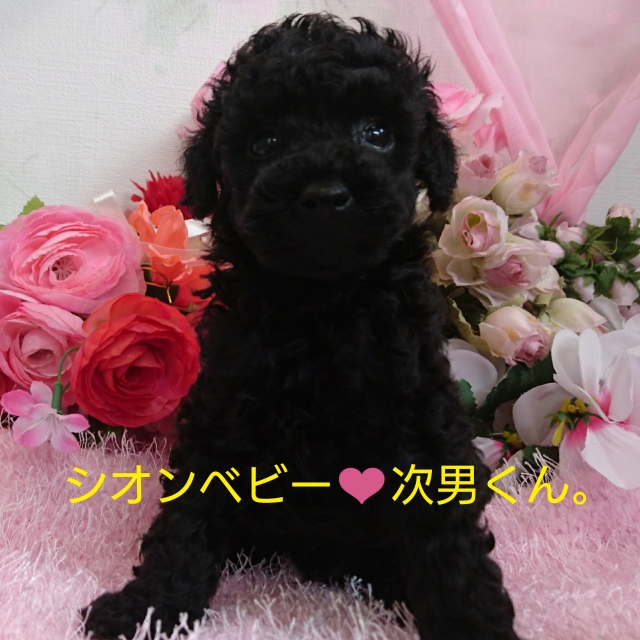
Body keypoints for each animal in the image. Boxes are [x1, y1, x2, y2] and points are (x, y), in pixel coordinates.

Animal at [83, 14, 518, 640]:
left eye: (377, 133)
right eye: (265, 142)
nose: (325, 194)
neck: (321, 303)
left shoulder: (422, 419)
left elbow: (452, 545)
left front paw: (473, 620)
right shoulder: (223, 411)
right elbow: (185, 524)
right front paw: (148, 608)